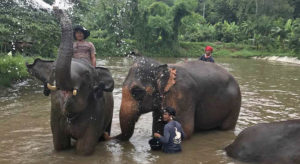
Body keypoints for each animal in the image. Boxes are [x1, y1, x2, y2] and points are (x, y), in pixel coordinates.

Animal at [25, 8, 114, 155]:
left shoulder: (96, 113)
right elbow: (59, 145)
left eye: (86, 75)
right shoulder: (55, 116)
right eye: (53, 70)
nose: (57, 8)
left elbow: (84, 149)